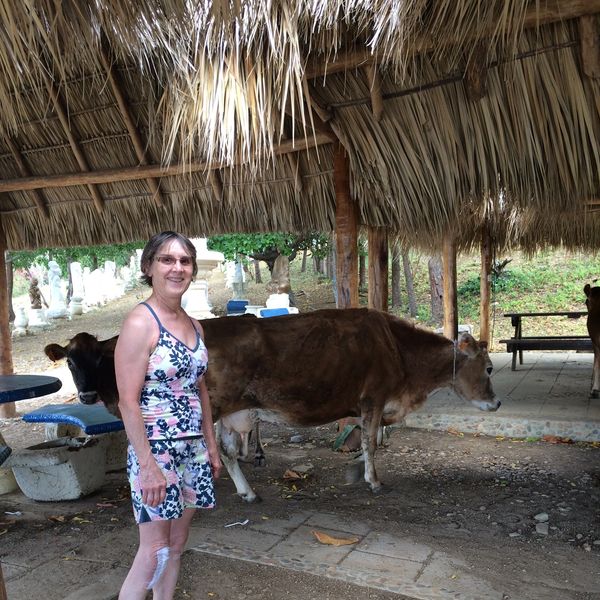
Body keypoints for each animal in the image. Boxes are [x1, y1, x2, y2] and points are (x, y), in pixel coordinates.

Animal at [44, 308, 500, 502]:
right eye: (490, 367)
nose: (496, 403)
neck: (398, 353)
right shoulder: (372, 398)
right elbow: (371, 444)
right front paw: (372, 480)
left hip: (235, 411)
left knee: (228, 451)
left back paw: (246, 491)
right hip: (217, 407)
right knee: (212, 451)